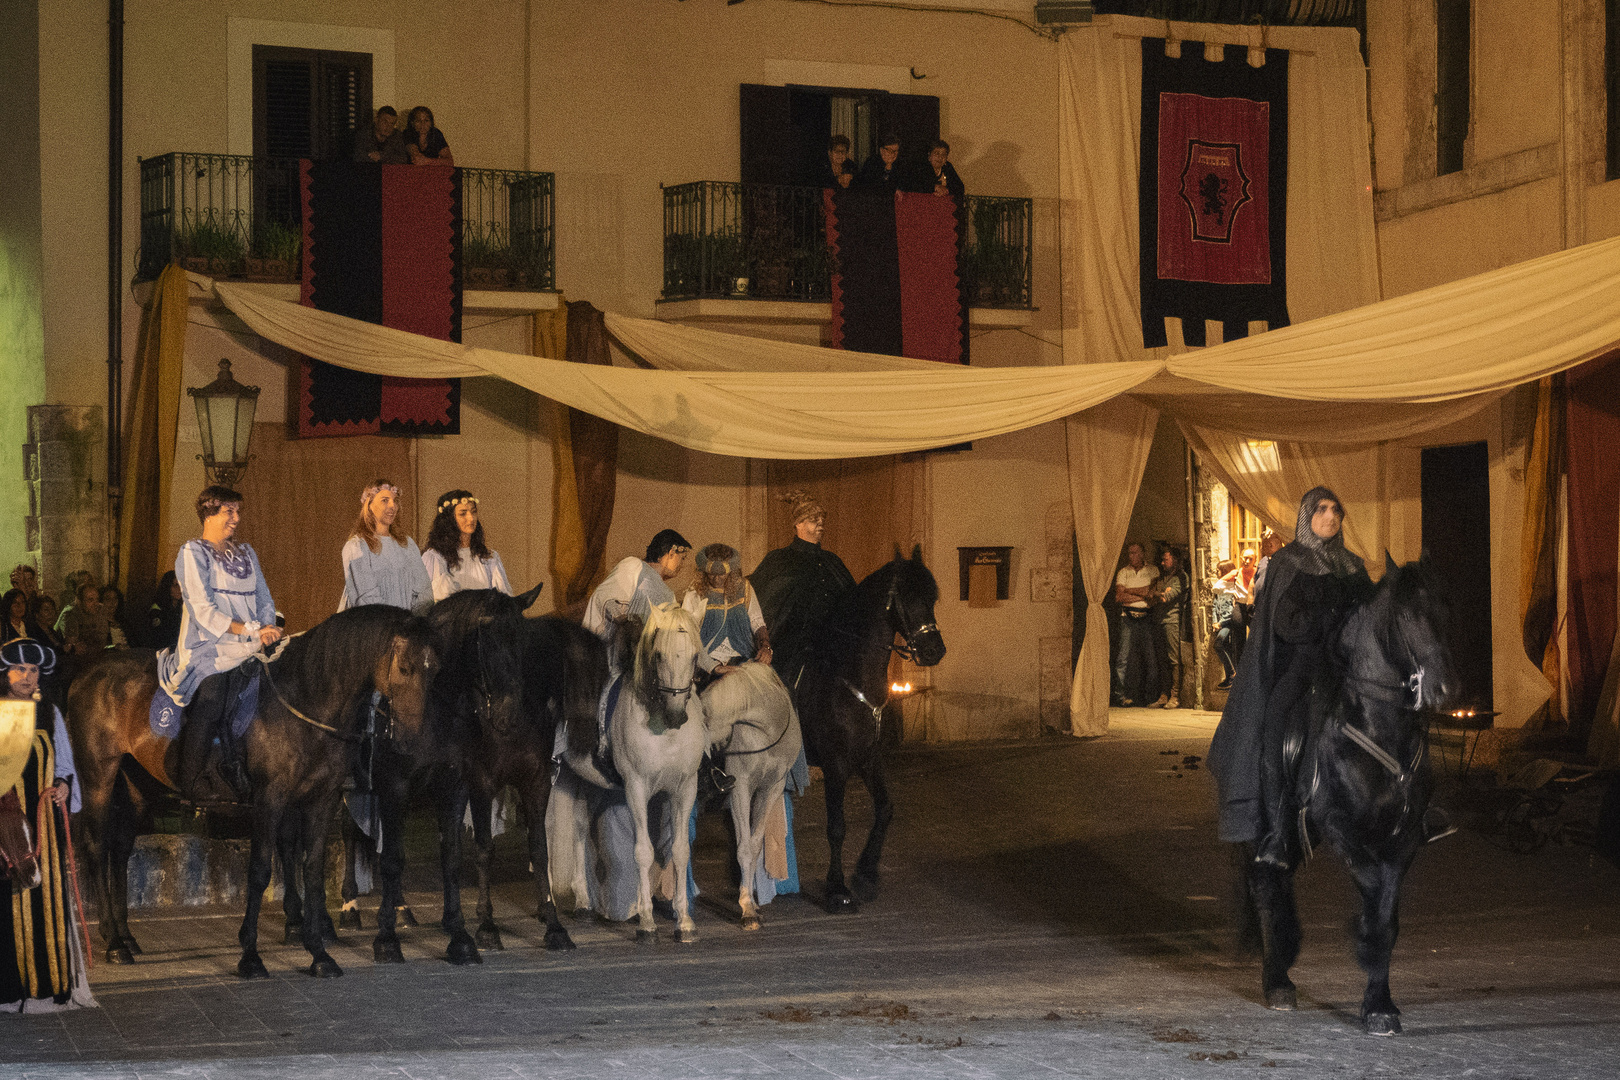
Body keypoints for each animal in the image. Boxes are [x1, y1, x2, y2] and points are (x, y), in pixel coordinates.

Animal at [66, 608, 437, 977]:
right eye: (405, 668)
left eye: (435, 669)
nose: (413, 742)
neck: (307, 700)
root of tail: (86, 673)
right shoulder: (270, 798)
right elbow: (259, 871)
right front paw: (251, 955)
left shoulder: (322, 800)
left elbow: (312, 873)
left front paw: (319, 954)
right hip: (99, 776)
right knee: (98, 847)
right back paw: (114, 943)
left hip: (136, 784)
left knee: (120, 849)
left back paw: (125, 937)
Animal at [696, 667, 803, 932]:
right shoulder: (741, 788)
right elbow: (744, 847)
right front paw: (747, 910)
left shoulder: (770, 789)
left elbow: (754, 846)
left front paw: (753, 905)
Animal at [777, 550, 946, 913]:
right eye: (906, 597)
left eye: (933, 597)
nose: (934, 651)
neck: (849, 678)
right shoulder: (836, 764)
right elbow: (837, 827)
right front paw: (837, 889)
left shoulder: (868, 759)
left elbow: (885, 809)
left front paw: (866, 875)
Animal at [1237, 557, 1458, 1036]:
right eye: (1406, 615)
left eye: (1447, 608)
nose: (1444, 690)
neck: (1378, 728)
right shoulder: (1340, 826)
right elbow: (1373, 895)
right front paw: (1363, 945)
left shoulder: (1404, 840)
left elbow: (1388, 914)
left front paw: (1380, 1004)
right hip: (1269, 827)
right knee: (1264, 879)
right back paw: (1277, 981)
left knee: (1278, 876)